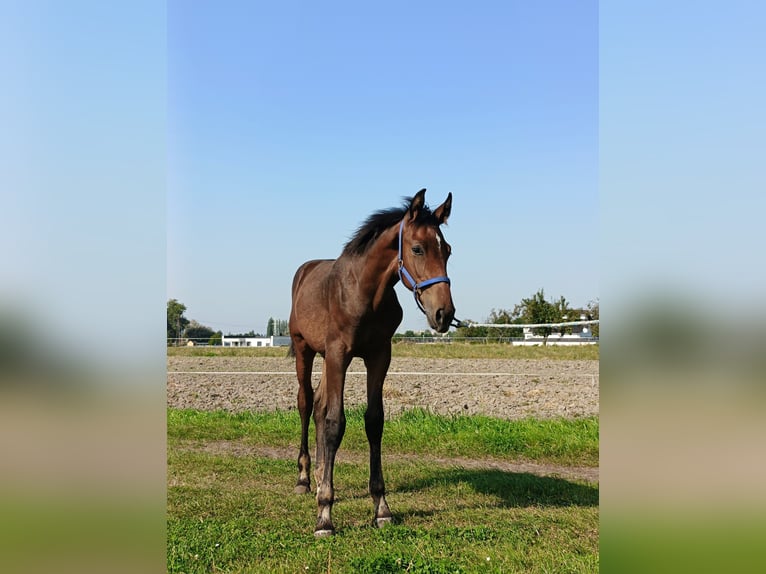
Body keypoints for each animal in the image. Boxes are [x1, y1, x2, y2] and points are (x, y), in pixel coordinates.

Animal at [288, 190, 456, 540]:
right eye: (417, 248)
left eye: (447, 250)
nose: (444, 314)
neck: (364, 292)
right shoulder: (339, 353)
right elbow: (335, 423)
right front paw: (325, 515)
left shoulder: (379, 355)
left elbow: (373, 422)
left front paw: (381, 507)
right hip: (305, 350)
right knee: (307, 404)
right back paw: (305, 479)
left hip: (325, 358)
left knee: (320, 406)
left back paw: (322, 475)